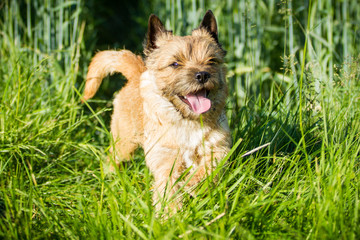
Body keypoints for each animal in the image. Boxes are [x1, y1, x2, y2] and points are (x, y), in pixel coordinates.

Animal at [83, 10, 232, 211]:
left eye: (212, 61)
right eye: (175, 64)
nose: (202, 75)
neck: (188, 122)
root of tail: (136, 74)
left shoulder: (218, 149)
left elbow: (209, 168)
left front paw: (195, 184)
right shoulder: (166, 160)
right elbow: (168, 189)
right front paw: (171, 214)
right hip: (124, 143)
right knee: (112, 158)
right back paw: (111, 177)